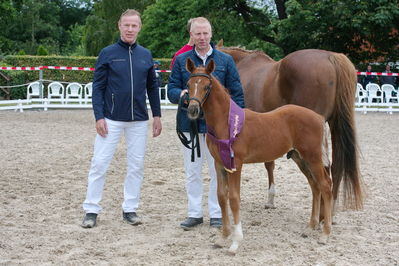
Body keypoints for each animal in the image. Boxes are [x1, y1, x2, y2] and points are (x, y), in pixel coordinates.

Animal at [186, 57, 332, 254]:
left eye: (206, 86)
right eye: (188, 84)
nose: (192, 110)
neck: (226, 122)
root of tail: (319, 117)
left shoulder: (236, 164)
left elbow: (234, 198)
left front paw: (235, 242)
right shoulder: (219, 164)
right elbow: (221, 197)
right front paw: (223, 237)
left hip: (313, 157)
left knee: (325, 185)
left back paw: (325, 234)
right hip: (300, 157)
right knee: (314, 186)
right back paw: (310, 226)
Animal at [217, 40, 364, 212]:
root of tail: (331, 57)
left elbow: (268, 163)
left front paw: (270, 199)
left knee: (324, 168)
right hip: (334, 125)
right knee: (335, 166)